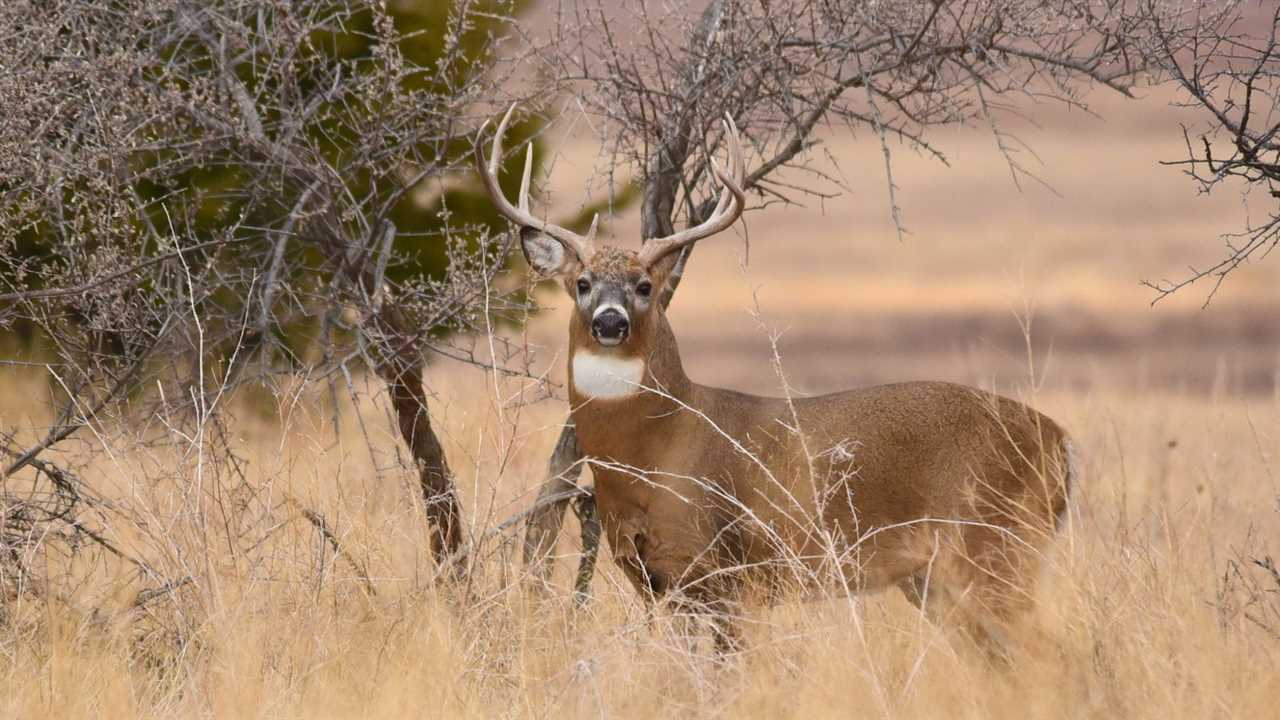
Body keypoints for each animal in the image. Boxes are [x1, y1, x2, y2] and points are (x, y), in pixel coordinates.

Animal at [476, 106, 1075, 655]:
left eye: (644, 285)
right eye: (581, 282)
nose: (609, 321)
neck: (655, 449)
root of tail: (1060, 440)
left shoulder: (723, 568)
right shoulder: (657, 578)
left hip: (995, 545)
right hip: (939, 578)